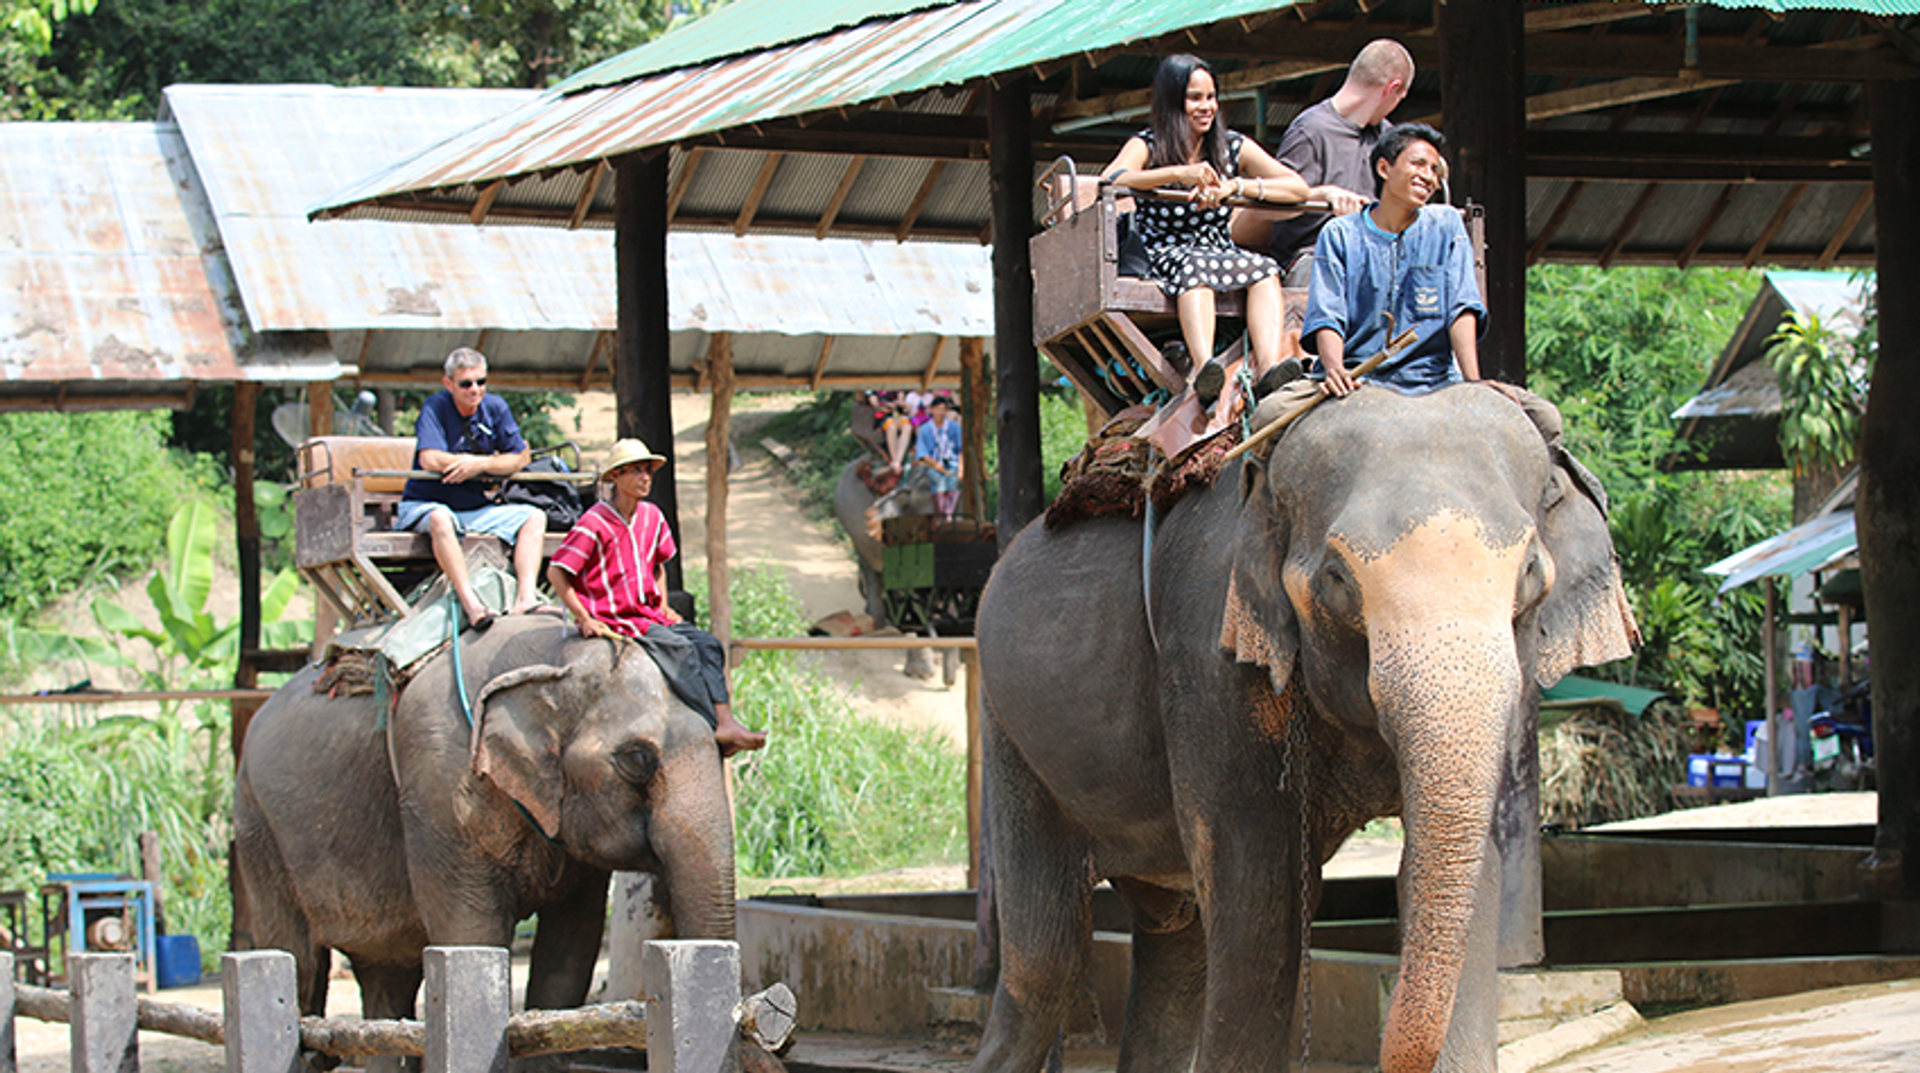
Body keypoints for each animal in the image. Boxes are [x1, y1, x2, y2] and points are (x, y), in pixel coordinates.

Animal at [226, 621, 733, 1036]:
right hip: (258, 828)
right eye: (637, 759)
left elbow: (570, 949)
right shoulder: (438, 791)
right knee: (298, 962)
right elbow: (469, 933)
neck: (552, 659)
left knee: (388, 977)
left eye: (724, 745)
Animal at [975, 385, 1635, 1073]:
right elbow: (1262, 896)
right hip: (1009, 730)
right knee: (1046, 959)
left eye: (1530, 572)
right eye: (1337, 580)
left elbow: (1466, 870)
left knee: (1175, 937)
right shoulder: (1207, 651)